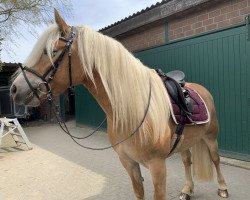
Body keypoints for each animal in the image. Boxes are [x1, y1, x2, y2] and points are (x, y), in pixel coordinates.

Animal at [11, 9, 229, 200]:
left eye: (52, 51)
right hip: (185, 142)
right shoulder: (128, 163)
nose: (15, 89)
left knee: (215, 159)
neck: (132, 111)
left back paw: (223, 188)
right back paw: (187, 190)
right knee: (187, 161)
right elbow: (139, 192)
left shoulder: (158, 166)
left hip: (211, 137)